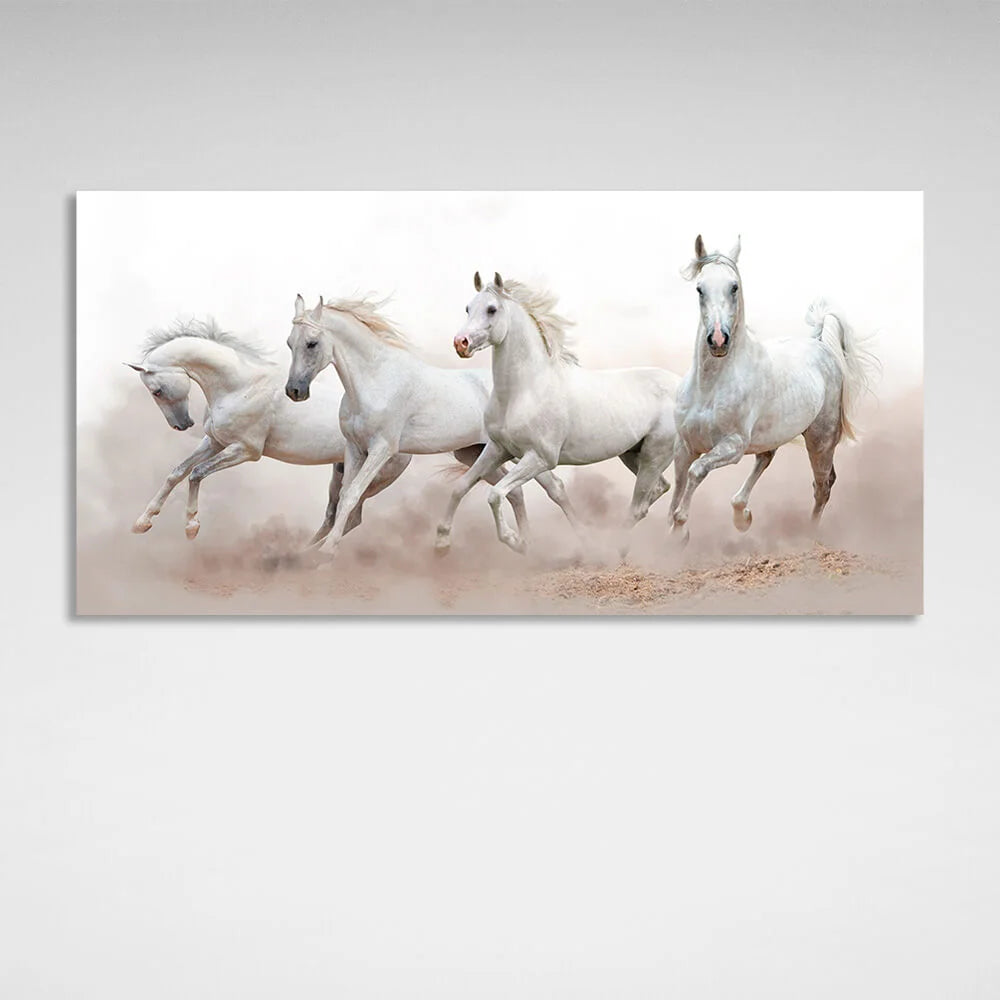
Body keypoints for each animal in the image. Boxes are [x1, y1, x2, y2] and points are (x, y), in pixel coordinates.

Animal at [126, 319, 411, 542]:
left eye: (156, 391)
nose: (182, 425)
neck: (241, 385)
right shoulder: (215, 442)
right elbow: (177, 472)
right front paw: (142, 522)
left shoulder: (246, 450)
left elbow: (196, 473)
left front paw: (191, 527)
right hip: (342, 471)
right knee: (336, 514)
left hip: (372, 478)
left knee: (350, 516)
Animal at [284, 294, 574, 555]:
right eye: (289, 343)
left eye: (312, 343)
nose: (294, 391)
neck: (375, 381)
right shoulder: (354, 449)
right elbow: (345, 495)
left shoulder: (381, 450)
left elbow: (352, 495)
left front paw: (326, 553)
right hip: (476, 453)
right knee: (516, 492)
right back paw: (523, 545)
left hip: (519, 451)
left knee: (554, 487)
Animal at [434, 272, 681, 555]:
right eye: (468, 308)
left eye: (492, 309)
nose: (460, 343)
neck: (525, 391)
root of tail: (682, 386)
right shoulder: (497, 449)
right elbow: (460, 487)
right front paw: (441, 542)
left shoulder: (539, 458)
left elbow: (495, 494)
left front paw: (516, 542)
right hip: (631, 454)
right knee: (659, 489)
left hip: (654, 455)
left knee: (639, 506)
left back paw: (613, 549)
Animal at [668, 235, 878, 540]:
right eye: (699, 288)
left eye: (734, 286)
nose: (718, 340)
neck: (710, 387)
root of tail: (821, 345)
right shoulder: (684, 445)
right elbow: (678, 487)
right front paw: (672, 533)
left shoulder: (732, 446)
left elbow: (696, 472)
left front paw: (680, 529)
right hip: (775, 434)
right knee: (767, 458)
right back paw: (742, 515)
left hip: (820, 440)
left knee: (823, 485)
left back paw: (808, 534)